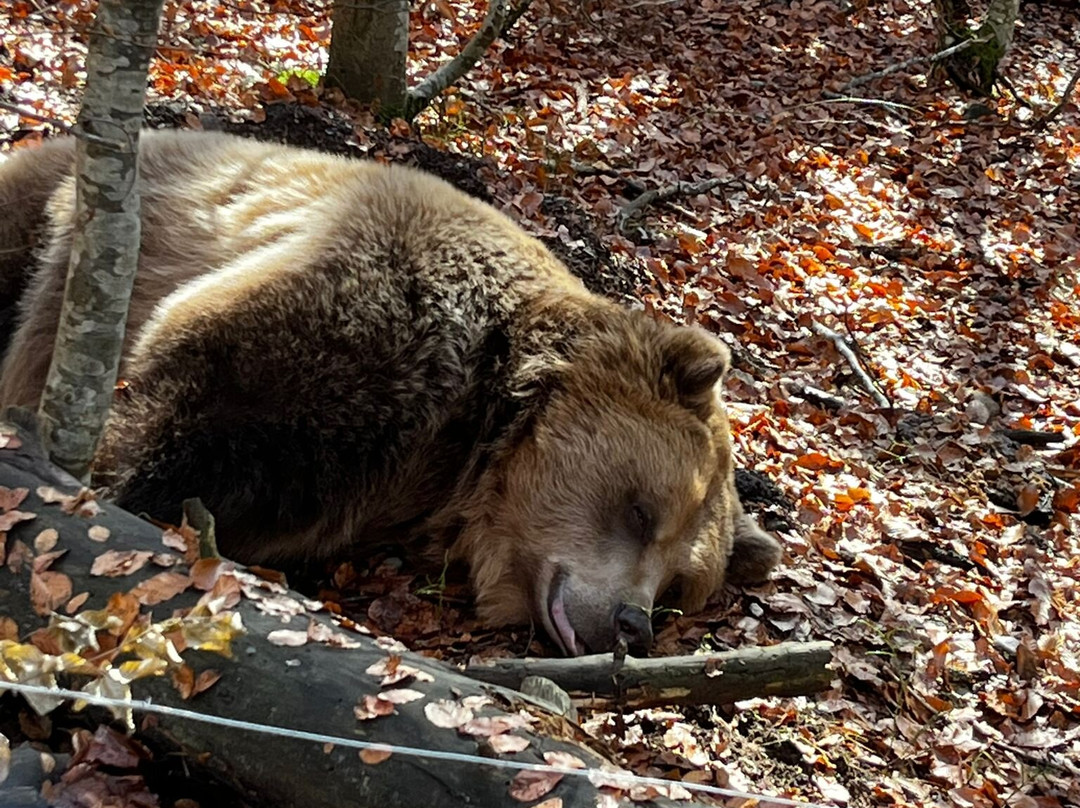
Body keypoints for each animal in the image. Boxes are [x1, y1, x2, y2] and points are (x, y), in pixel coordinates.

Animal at [0, 131, 781, 656]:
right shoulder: (372, 294)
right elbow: (189, 399)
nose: (630, 623)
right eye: (642, 510)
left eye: (678, 585)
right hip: (58, 216)